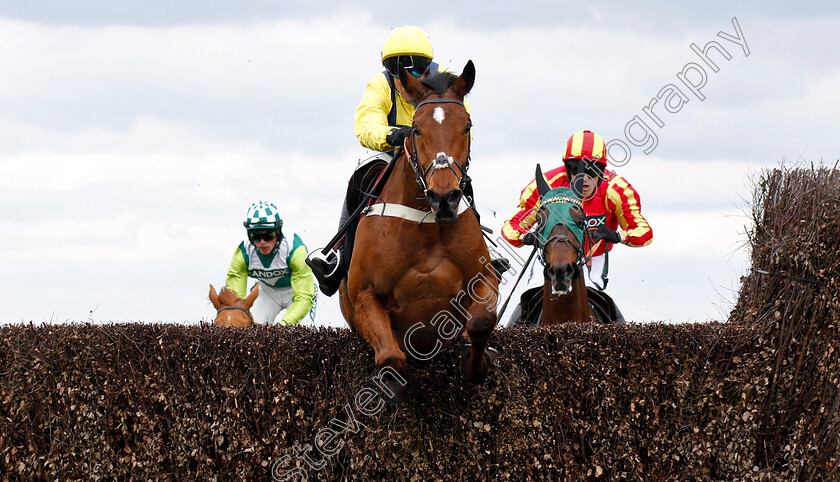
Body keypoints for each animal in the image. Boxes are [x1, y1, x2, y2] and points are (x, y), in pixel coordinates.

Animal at [338, 61, 498, 402]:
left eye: (467, 126)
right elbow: (391, 358)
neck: (426, 224)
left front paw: (476, 366)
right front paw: (392, 389)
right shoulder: (364, 296)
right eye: (416, 129)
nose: (444, 197)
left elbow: (481, 320)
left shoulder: (483, 279)